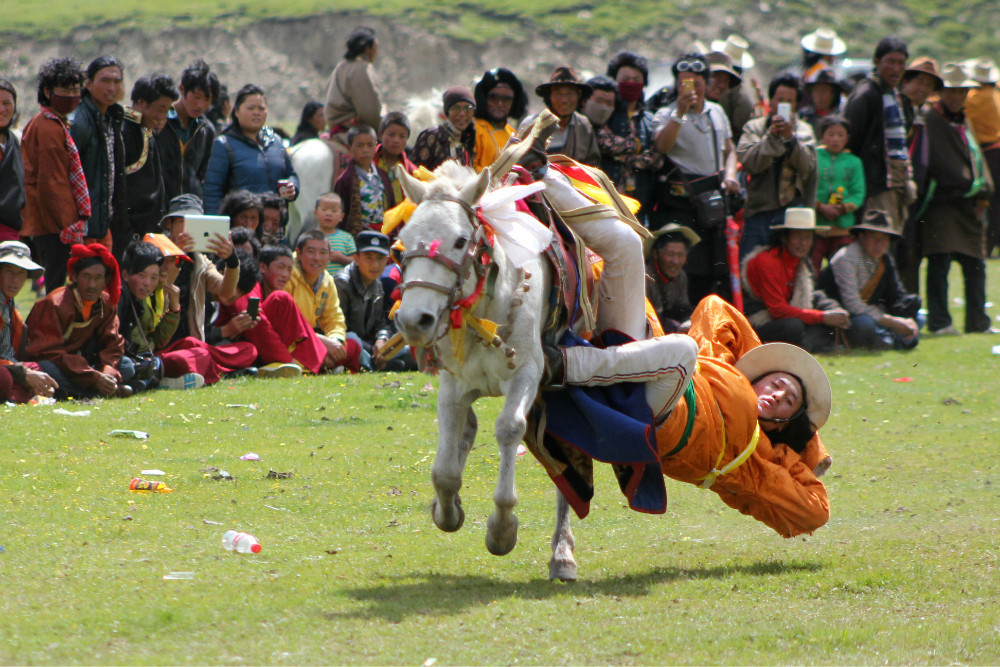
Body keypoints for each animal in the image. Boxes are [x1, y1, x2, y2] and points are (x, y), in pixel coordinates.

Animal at [390, 159, 580, 580]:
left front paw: (502, 530)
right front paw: (447, 511)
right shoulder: (454, 384)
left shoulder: (527, 375)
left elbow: (509, 429)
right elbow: (444, 469)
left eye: (461, 241)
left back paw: (562, 554)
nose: (414, 320)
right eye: (404, 241)